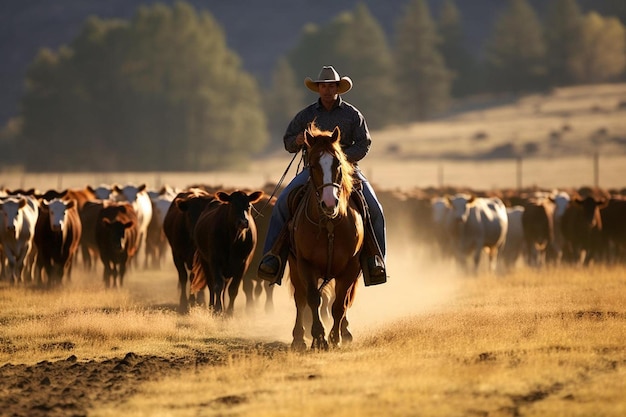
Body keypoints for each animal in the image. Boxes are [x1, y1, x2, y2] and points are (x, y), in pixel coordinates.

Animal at [286, 122, 364, 350]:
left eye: (338, 163)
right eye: (312, 165)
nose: (330, 203)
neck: (329, 224)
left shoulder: (351, 267)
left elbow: (339, 304)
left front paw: (335, 338)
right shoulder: (305, 264)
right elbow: (313, 299)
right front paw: (319, 338)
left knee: (344, 300)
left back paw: (345, 332)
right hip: (294, 266)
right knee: (300, 298)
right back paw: (298, 338)